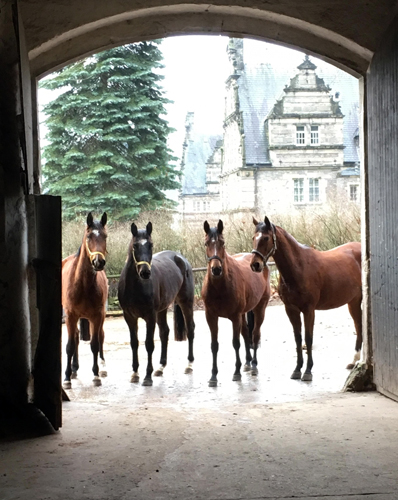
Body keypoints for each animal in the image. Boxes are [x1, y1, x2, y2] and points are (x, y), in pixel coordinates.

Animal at [61, 213, 107, 388]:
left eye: (105, 236)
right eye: (89, 236)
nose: (98, 262)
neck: (83, 284)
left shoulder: (97, 316)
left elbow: (95, 344)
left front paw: (96, 375)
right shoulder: (70, 316)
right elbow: (69, 345)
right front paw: (66, 378)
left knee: (100, 336)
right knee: (75, 338)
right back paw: (73, 369)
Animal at [117, 222, 195, 386]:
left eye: (151, 245)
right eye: (135, 245)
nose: (145, 273)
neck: (136, 286)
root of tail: (180, 258)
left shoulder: (150, 316)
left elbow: (149, 344)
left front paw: (147, 377)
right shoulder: (129, 317)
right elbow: (134, 343)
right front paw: (135, 374)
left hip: (186, 302)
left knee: (190, 328)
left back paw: (189, 365)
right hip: (162, 309)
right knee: (165, 332)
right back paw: (160, 367)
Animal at [202, 219, 270, 386]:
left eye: (223, 243)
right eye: (206, 243)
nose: (216, 269)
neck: (220, 287)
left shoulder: (234, 317)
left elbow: (235, 343)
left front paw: (236, 372)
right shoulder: (211, 316)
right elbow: (214, 345)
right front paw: (213, 376)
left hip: (260, 308)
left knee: (255, 334)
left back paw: (254, 365)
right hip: (243, 313)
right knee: (246, 333)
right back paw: (247, 362)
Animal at [252, 216, 364, 382]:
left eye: (266, 238)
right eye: (253, 238)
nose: (255, 265)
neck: (298, 267)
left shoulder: (309, 310)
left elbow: (308, 338)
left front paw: (308, 371)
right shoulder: (291, 309)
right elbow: (298, 338)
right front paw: (297, 369)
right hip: (353, 301)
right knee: (358, 325)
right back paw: (354, 360)